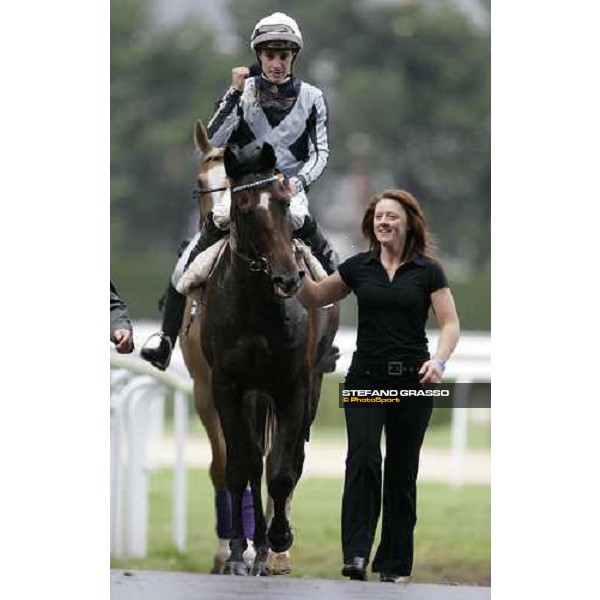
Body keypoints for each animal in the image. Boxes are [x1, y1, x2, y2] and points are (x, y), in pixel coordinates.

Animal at [177, 119, 338, 576]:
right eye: (245, 205)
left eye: (283, 201)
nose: (287, 277)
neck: (259, 307)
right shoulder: (220, 386)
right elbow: (234, 464)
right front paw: (234, 550)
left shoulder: (294, 385)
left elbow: (281, 469)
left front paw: (278, 540)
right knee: (248, 460)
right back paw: (255, 547)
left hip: (308, 385)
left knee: (285, 460)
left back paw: (273, 551)